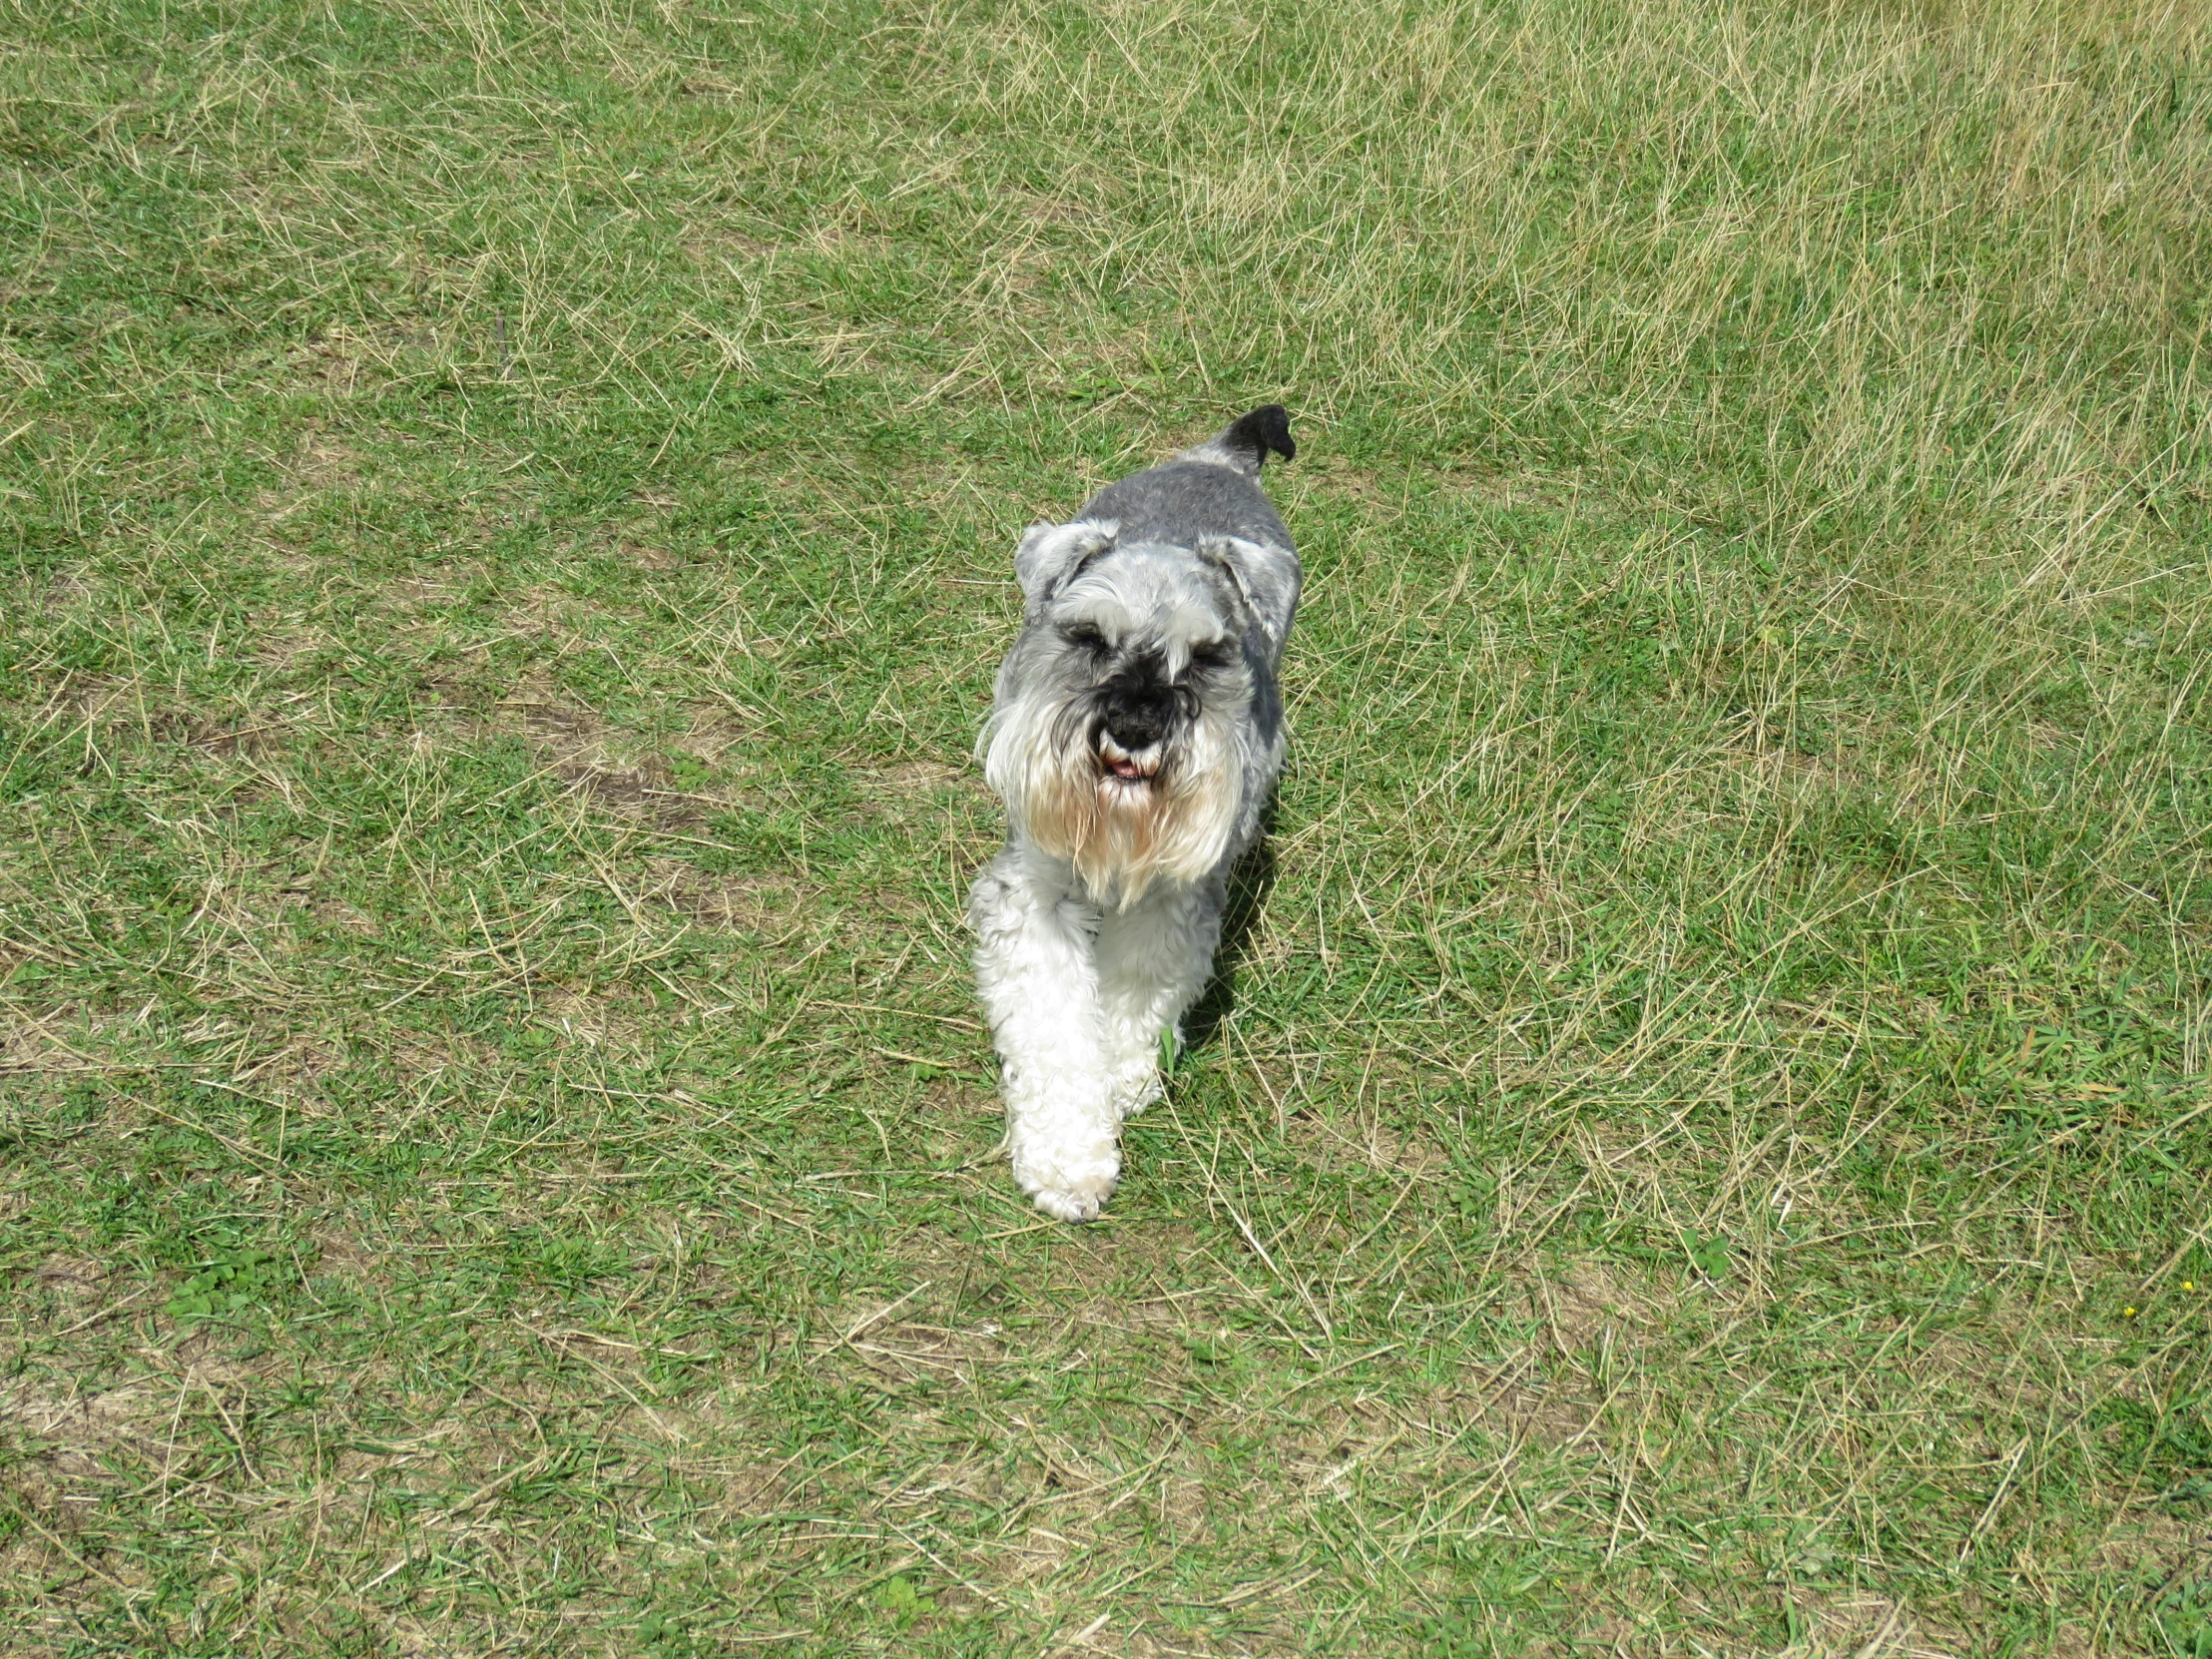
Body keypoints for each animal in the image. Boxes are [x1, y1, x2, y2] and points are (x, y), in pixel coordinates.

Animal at [964, 408, 1292, 1221]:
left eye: (1207, 656)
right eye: (1087, 637)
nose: (1136, 725)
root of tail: (1220, 460)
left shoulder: (1174, 898)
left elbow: (1138, 991)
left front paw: (1124, 1080)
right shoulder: (1034, 895)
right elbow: (1054, 1027)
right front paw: (1067, 1160)